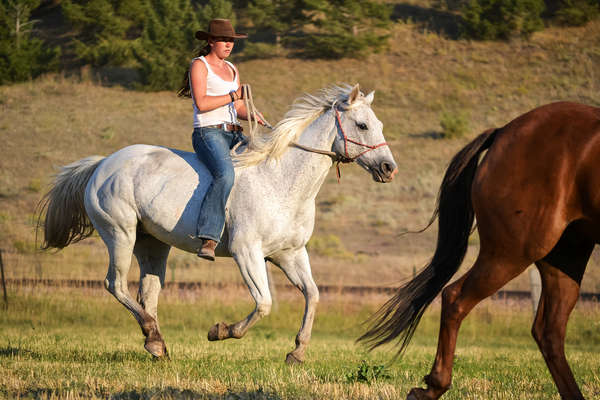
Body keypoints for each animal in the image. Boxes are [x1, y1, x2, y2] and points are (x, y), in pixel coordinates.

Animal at [360, 102, 600, 400]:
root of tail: (503, 132)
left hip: (565, 255)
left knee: (550, 331)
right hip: (511, 252)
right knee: (455, 297)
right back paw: (433, 386)